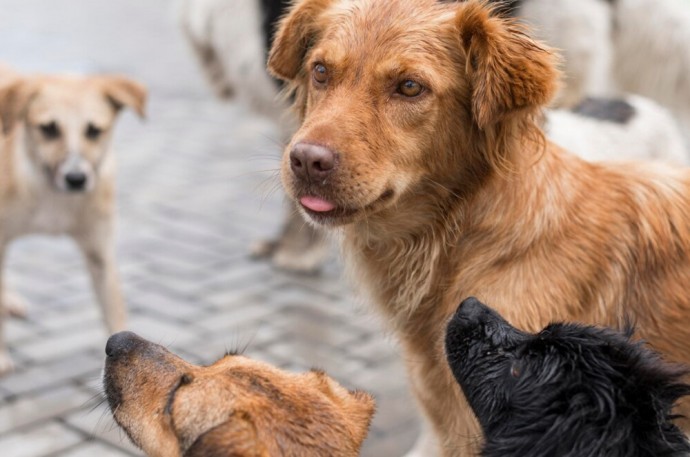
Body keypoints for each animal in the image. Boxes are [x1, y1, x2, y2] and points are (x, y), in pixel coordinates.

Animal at [0, 69, 145, 372]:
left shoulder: (100, 252)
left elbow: (115, 311)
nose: (76, 178)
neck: (52, 194)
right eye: (48, 128)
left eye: (94, 131)